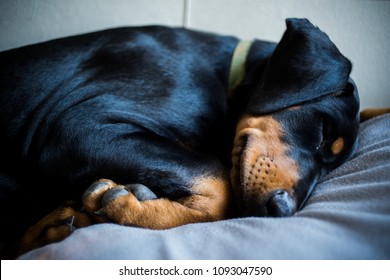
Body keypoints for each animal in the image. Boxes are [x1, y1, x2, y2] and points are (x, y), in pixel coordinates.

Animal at [0, 18, 360, 258]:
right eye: (323, 130)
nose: (282, 210)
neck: (227, 76)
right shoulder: (80, 128)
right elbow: (219, 184)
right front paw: (129, 203)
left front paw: (133, 203)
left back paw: (57, 225)